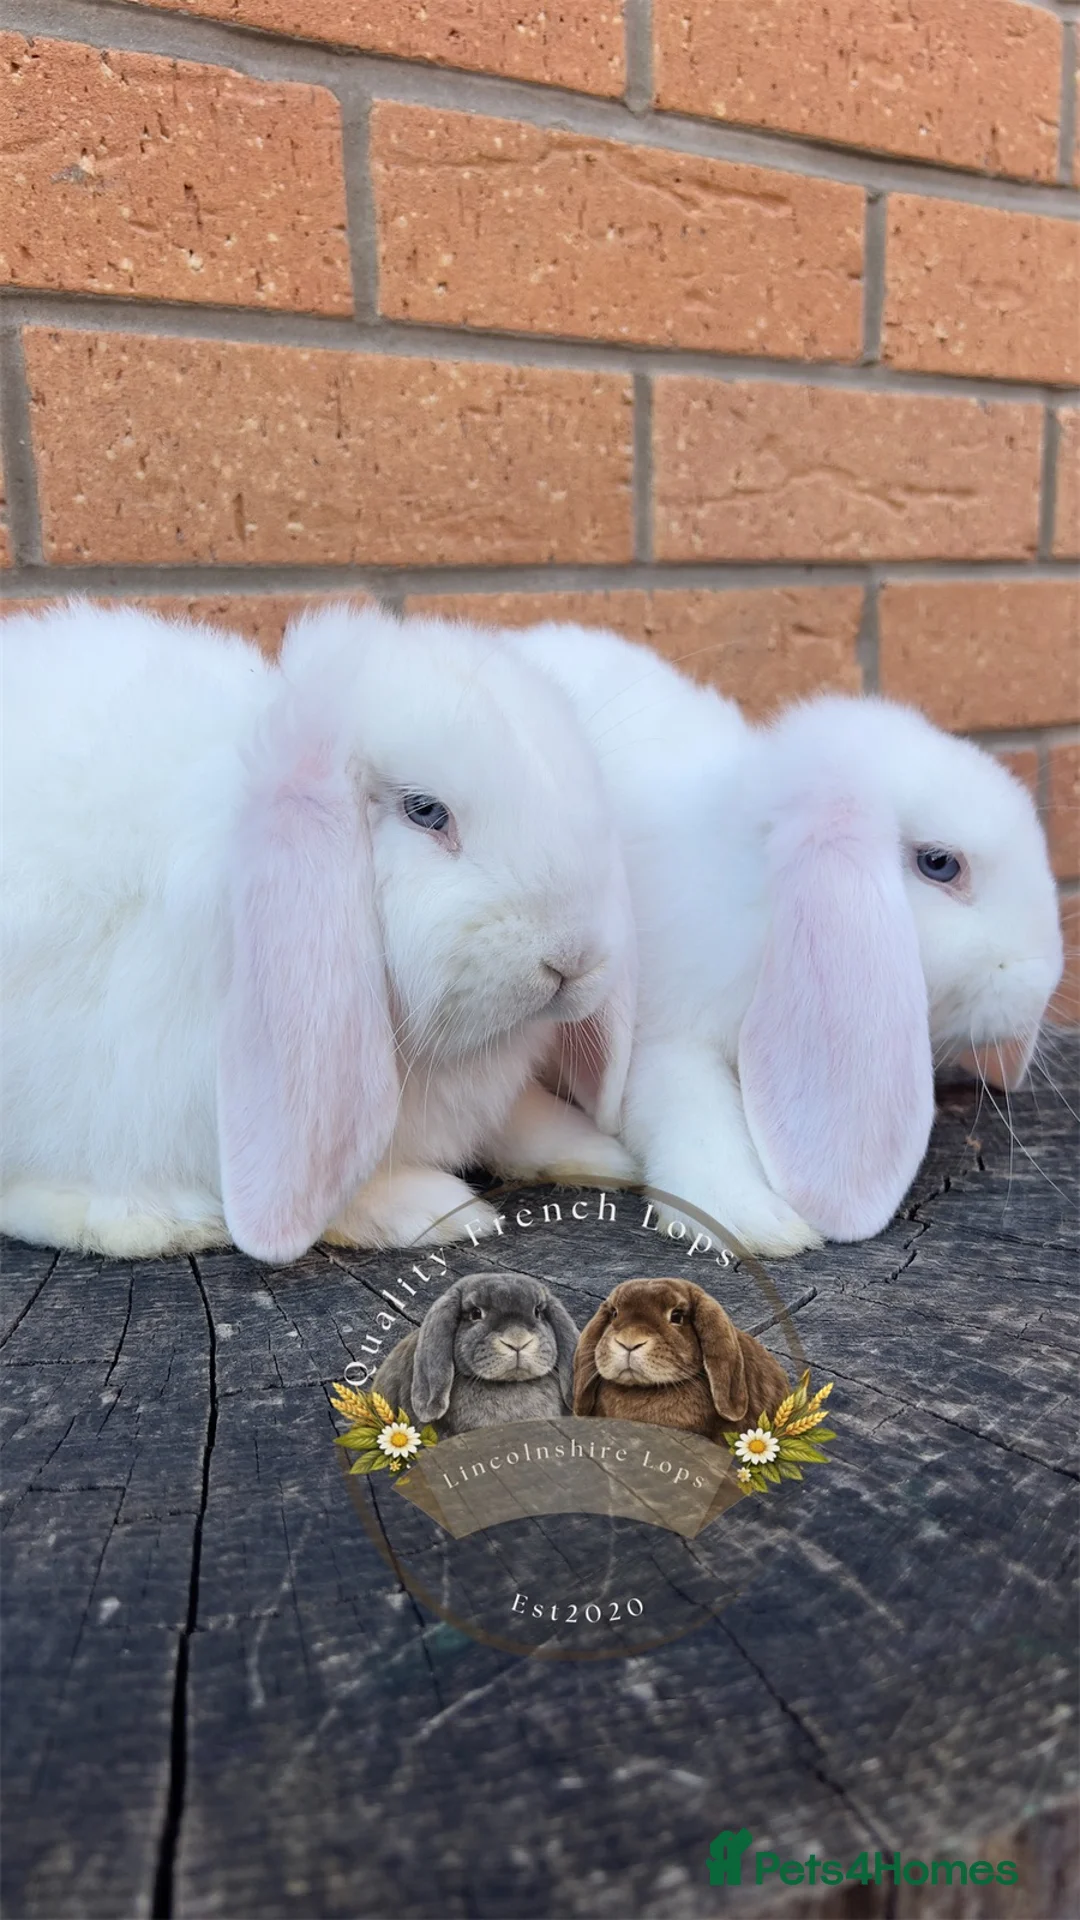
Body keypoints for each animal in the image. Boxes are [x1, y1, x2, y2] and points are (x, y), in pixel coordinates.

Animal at [507, 623, 1064, 1255]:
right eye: (940, 864)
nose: (1041, 983)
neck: (763, 900)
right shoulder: (667, 1035)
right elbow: (692, 1113)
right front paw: (757, 1222)